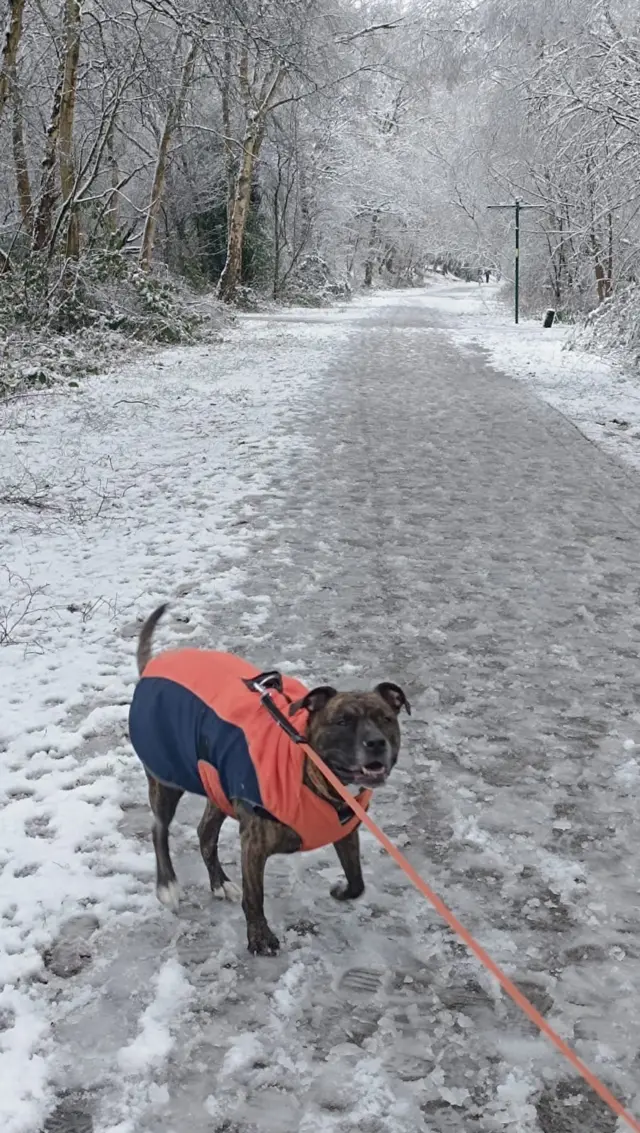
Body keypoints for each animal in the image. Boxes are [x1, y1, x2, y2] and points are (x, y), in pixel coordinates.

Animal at [129, 607, 410, 951]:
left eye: (386, 718)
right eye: (342, 721)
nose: (376, 743)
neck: (311, 772)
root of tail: (152, 667)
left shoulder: (346, 832)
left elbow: (356, 880)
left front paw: (342, 891)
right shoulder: (254, 843)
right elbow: (255, 896)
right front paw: (260, 936)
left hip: (216, 783)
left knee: (205, 833)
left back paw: (220, 883)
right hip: (166, 777)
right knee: (159, 828)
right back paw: (167, 884)